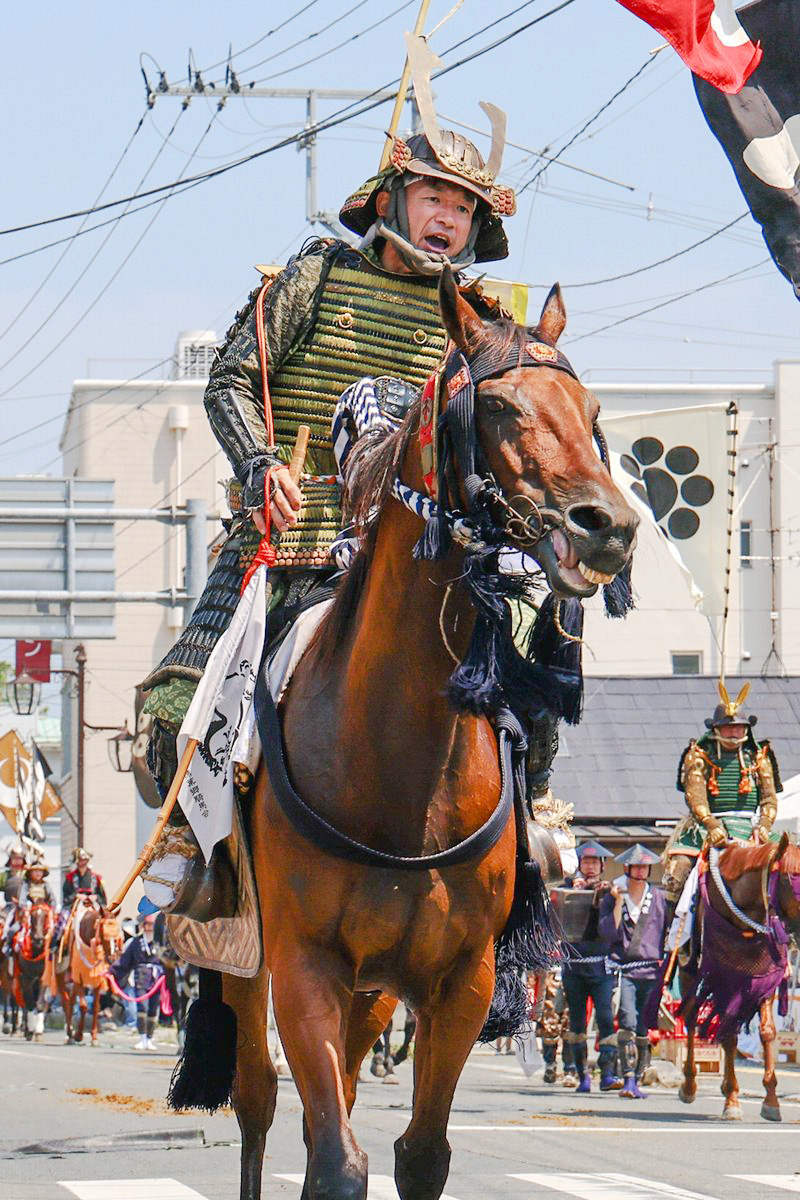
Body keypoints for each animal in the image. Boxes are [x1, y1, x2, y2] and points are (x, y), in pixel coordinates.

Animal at [188, 272, 638, 1200]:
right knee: (257, 1106)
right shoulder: (305, 964)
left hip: (377, 991)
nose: (607, 525)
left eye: (590, 410)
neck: (400, 766)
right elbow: (336, 1160)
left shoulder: (458, 981)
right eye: (498, 406)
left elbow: (419, 1153)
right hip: (249, 961)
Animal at [681, 835, 800, 1123]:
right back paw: (690, 1085)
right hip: (689, 968)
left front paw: (771, 1101)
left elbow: (766, 1032)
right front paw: (733, 1101)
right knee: (691, 1017)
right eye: (789, 879)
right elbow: (728, 1034)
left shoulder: (760, 977)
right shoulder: (724, 976)